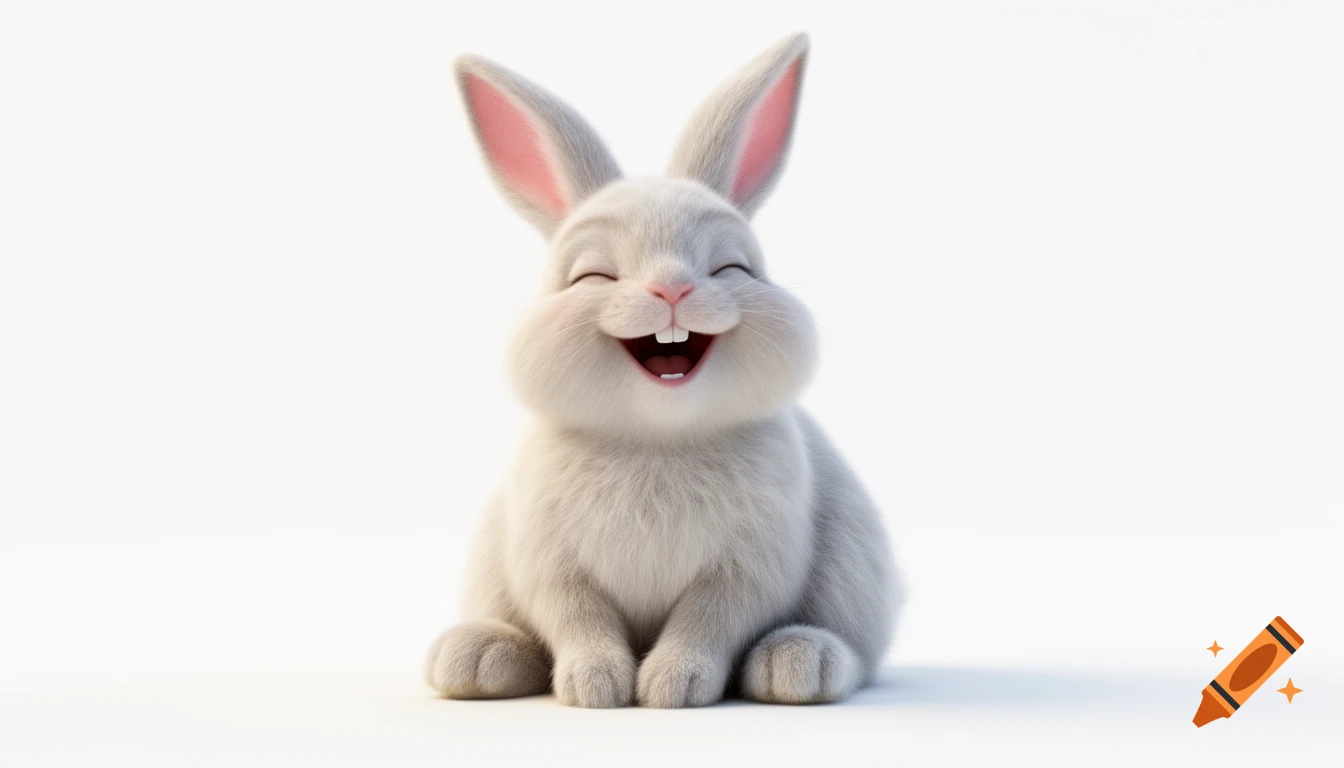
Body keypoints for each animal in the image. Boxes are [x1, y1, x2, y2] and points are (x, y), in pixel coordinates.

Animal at [424, 32, 897, 708]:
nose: (672, 288)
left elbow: (708, 620)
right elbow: (578, 619)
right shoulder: (550, 562)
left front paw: (676, 686)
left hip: (852, 574)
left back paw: (800, 661)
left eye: (731, 269)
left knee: (850, 649)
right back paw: (478, 657)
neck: (657, 438)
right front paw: (593, 686)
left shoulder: (747, 567)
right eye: (593, 276)